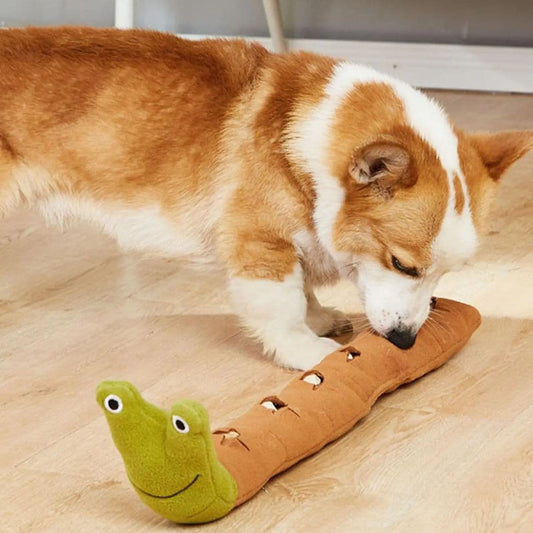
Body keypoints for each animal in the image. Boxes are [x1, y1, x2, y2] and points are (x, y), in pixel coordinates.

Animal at [1, 27, 532, 368]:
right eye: (402, 264)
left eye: (447, 274)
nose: (404, 342)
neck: (305, 144)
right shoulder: (261, 246)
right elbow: (282, 307)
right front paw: (309, 352)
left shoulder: (297, 240)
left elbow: (305, 289)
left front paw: (322, 318)